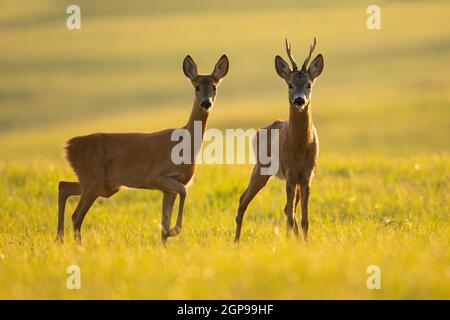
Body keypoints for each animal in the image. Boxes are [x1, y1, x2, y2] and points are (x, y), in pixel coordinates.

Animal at [56, 55, 230, 245]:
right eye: (196, 87)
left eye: (214, 87)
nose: (206, 103)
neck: (185, 144)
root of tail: (68, 147)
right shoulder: (157, 177)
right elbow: (183, 194)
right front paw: (174, 231)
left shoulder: (169, 188)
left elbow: (164, 223)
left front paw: (165, 241)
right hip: (93, 180)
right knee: (76, 216)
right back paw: (77, 245)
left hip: (103, 184)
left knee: (63, 186)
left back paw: (60, 238)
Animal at [236, 37, 324, 242]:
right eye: (289, 84)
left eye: (309, 84)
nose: (299, 100)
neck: (300, 147)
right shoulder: (290, 174)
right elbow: (292, 217)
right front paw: (291, 242)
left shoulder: (307, 176)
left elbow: (304, 219)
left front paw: (305, 243)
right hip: (261, 167)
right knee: (243, 200)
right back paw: (236, 241)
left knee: (286, 209)